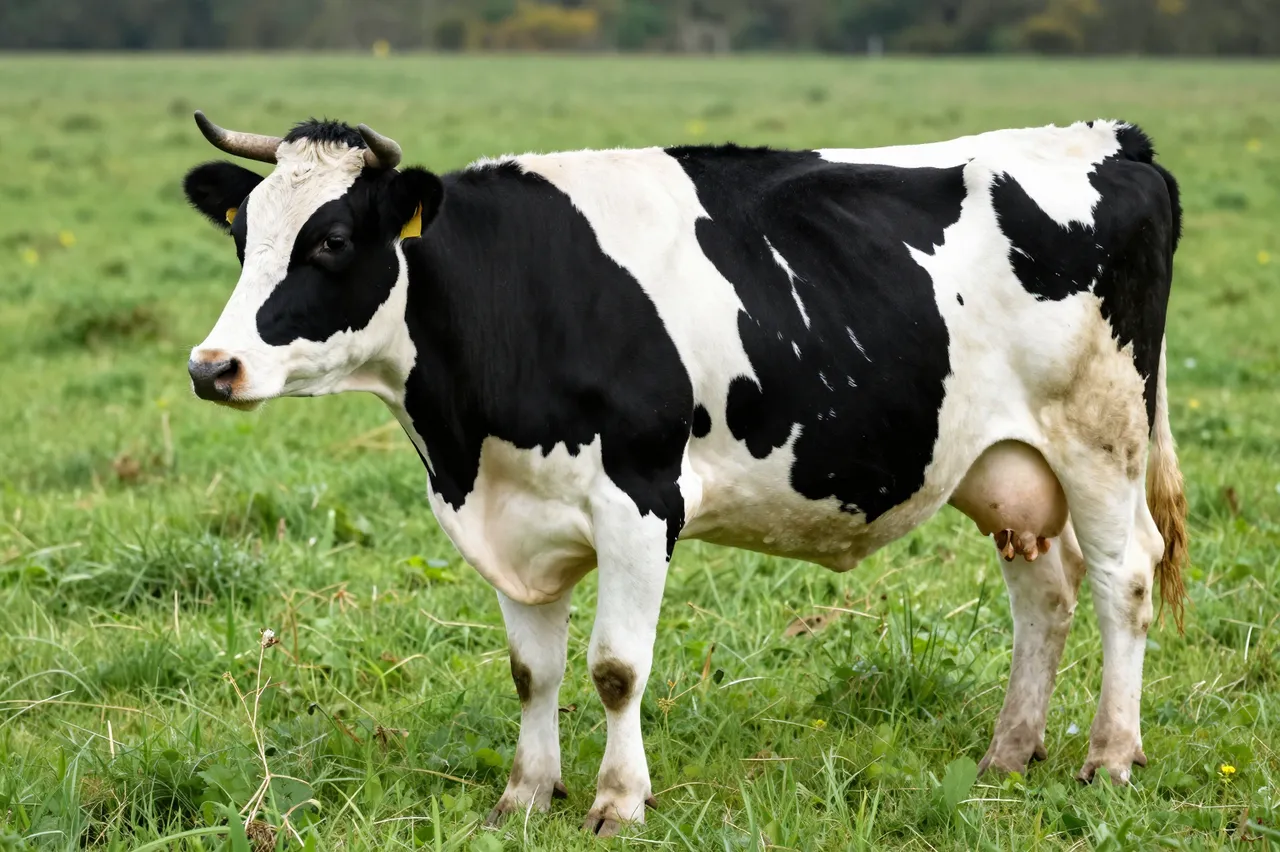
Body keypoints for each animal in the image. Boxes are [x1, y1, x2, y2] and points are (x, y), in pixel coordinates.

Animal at [182, 111, 1187, 835]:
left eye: (331, 240)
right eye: (243, 238)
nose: (212, 366)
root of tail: (1111, 139)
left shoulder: (637, 501)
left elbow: (616, 668)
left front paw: (618, 801)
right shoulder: (514, 515)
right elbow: (531, 671)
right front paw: (523, 795)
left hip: (1099, 435)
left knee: (1123, 578)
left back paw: (1110, 756)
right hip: (1000, 461)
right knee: (1045, 594)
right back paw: (1008, 753)